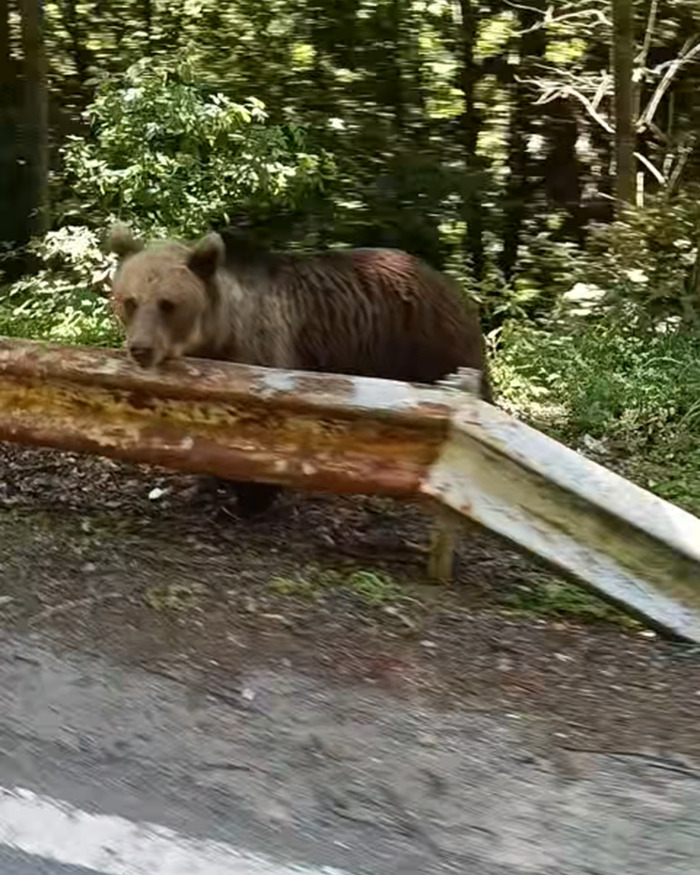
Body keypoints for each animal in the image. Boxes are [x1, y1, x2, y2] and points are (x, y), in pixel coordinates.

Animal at [108, 224, 493, 516]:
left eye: (167, 304)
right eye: (130, 301)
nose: (140, 349)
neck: (219, 334)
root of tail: (451, 285)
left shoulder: (265, 356)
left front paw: (249, 499)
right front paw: (203, 484)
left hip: (429, 347)